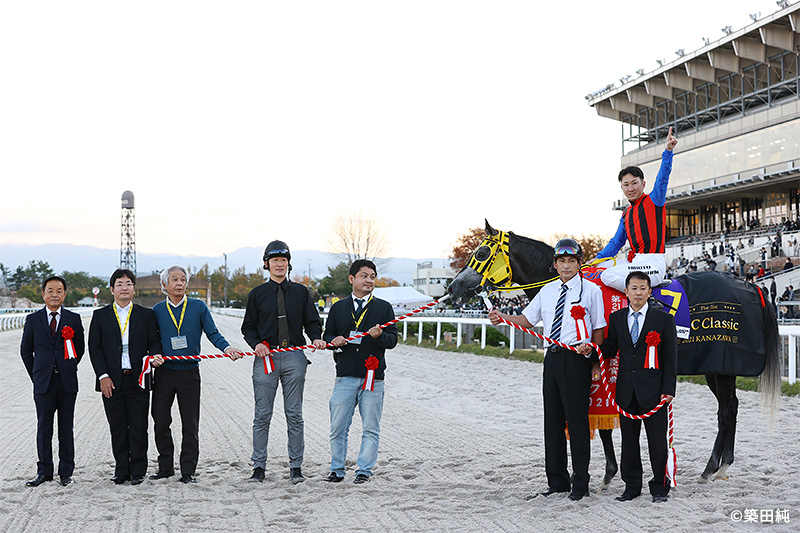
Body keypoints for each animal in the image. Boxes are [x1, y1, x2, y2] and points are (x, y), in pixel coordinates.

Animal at [450, 219, 780, 482]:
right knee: (731, 407)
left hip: (722, 365)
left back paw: (712, 468)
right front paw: (611, 472)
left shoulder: (599, 366)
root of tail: (751, 286)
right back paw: (722, 466)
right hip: (716, 368)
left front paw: (609, 473)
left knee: (726, 411)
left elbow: (601, 420)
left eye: (481, 253)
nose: (453, 288)